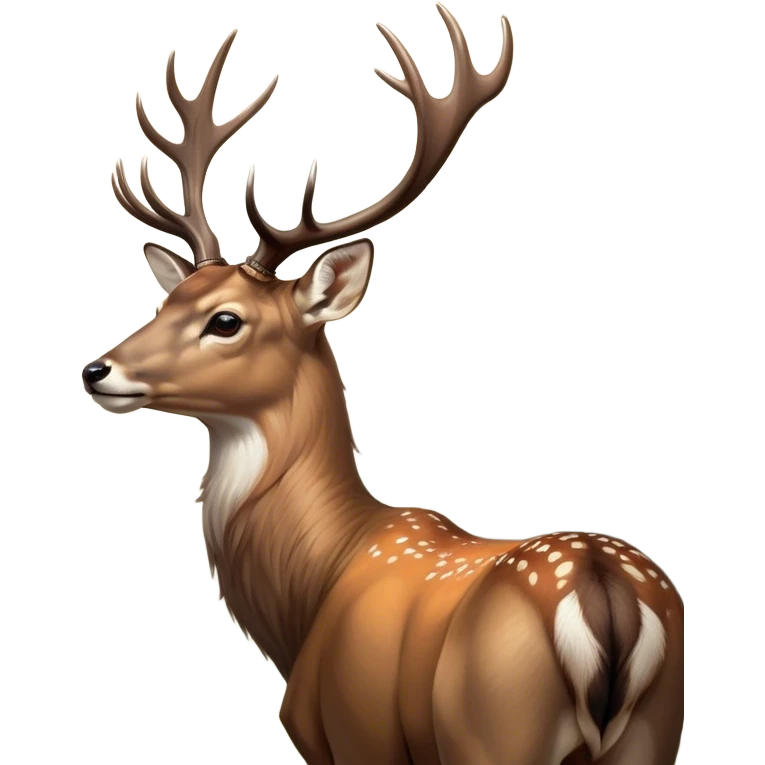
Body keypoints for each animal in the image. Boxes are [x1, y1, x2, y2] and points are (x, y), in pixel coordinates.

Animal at [81, 7, 684, 765]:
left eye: (226, 320)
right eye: (167, 300)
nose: (97, 369)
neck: (309, 595)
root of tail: (606, 595)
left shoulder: (354, 728)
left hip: (491, 725)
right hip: (653, 730)